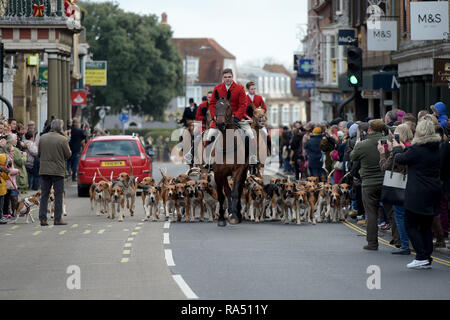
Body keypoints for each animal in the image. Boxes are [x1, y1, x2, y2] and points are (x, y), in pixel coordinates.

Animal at [212, 89, 250, 226]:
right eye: (216, 106)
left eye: (228, 106)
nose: (220, 124)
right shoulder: (219, 173)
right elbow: (223, 194)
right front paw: (222, 218)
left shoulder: (238, 170)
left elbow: (235, 192)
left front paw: (234, 216)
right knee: (227, 191)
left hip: (243, 172)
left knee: (238, 190)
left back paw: (237, 213)